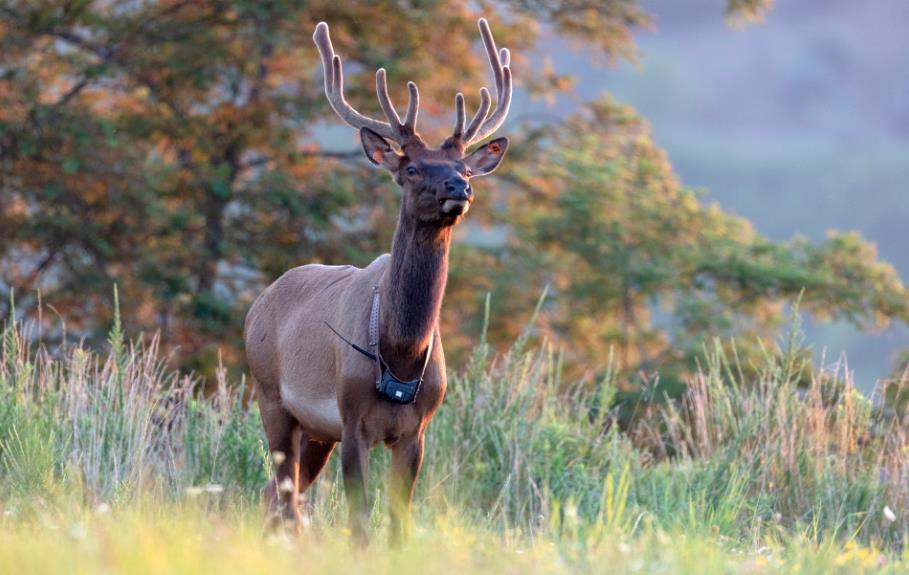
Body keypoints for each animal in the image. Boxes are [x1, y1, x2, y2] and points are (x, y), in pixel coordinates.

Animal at [243, 15, 510, 544]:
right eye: (412, 168)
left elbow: (398, 521)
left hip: (315, 431)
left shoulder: (416, 430)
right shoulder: (352, 420)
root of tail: (258, 303)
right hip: (272, 397)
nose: (459, 187)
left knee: (278, 495)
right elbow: (360, 520)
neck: (401, 353)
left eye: (466, 168)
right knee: (284, 497)